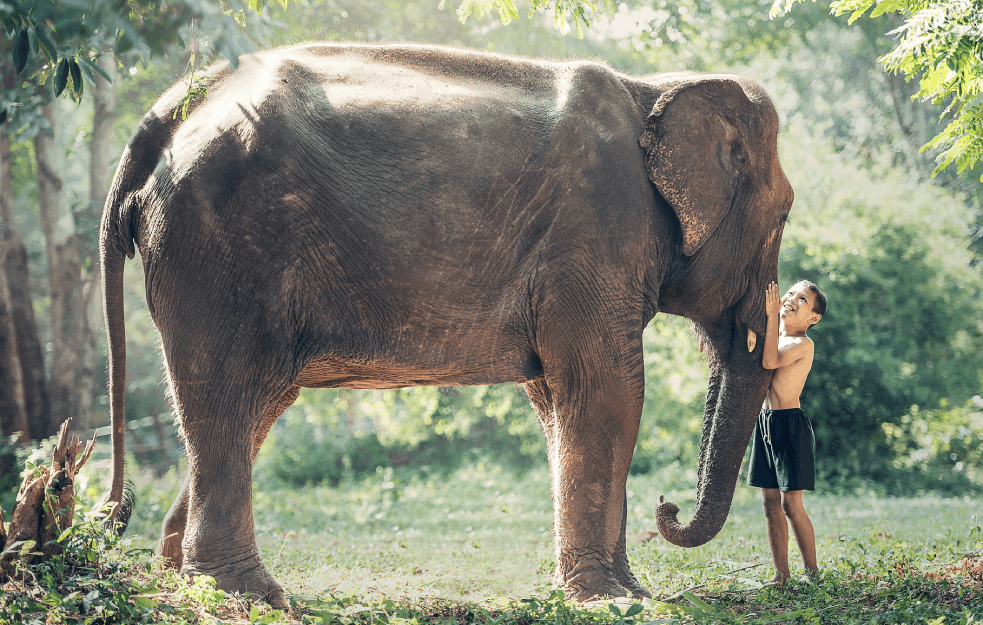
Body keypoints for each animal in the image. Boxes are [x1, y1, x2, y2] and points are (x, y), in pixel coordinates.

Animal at [98, 42, 792, 604]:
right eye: (785, 214)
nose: (668, 506)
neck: (652, 87)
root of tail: (167, 113)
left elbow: (558, 402)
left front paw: (627, 592)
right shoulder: (595, 232)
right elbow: (608, 393)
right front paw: (612, 599)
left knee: (254, 405)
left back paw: (178, 577)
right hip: (218, 247)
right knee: (228, 393)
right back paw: (248, 596)